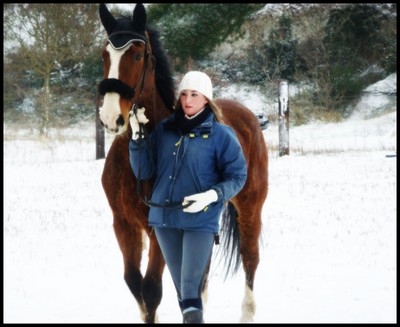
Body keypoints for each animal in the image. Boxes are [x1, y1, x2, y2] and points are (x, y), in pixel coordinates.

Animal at [98, 3, 268, 326]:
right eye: (105, 54)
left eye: (137, 55)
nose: (112, 117)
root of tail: (249, 115)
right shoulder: (122, 225)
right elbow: (134, 283)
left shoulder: (158, 230)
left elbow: (151, 289)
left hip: (250, 205)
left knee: (250, 258)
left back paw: (248, 312)